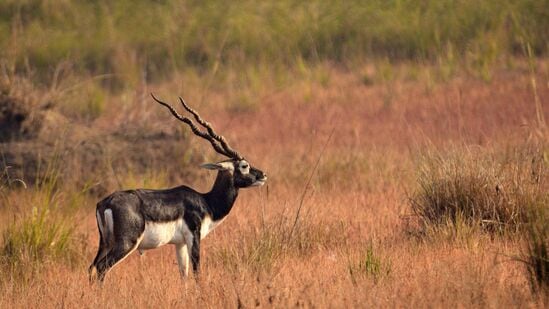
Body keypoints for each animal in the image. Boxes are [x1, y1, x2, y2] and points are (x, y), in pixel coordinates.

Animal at [89, 94, 266, 282]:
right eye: (244, 166)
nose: (263, 175)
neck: (206, 202)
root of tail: (106, 203)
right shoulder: (193, 237)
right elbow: (196, 271)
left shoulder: (179, 243)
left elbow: (184, 274)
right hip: (126, 243)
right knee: (101, 267)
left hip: (104, 243)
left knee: (91, 267)